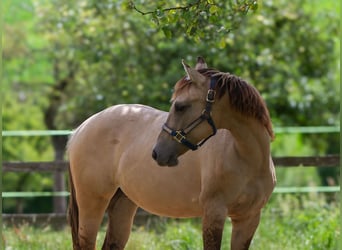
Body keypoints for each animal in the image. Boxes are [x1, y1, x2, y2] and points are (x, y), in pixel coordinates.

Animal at [68, 57, 276, 250]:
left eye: (180, 106)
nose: (157, 152)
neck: (247, 159)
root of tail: (81, 128)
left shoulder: (248, 219)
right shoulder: (214, 214)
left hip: (122, 204)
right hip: (92, 203)